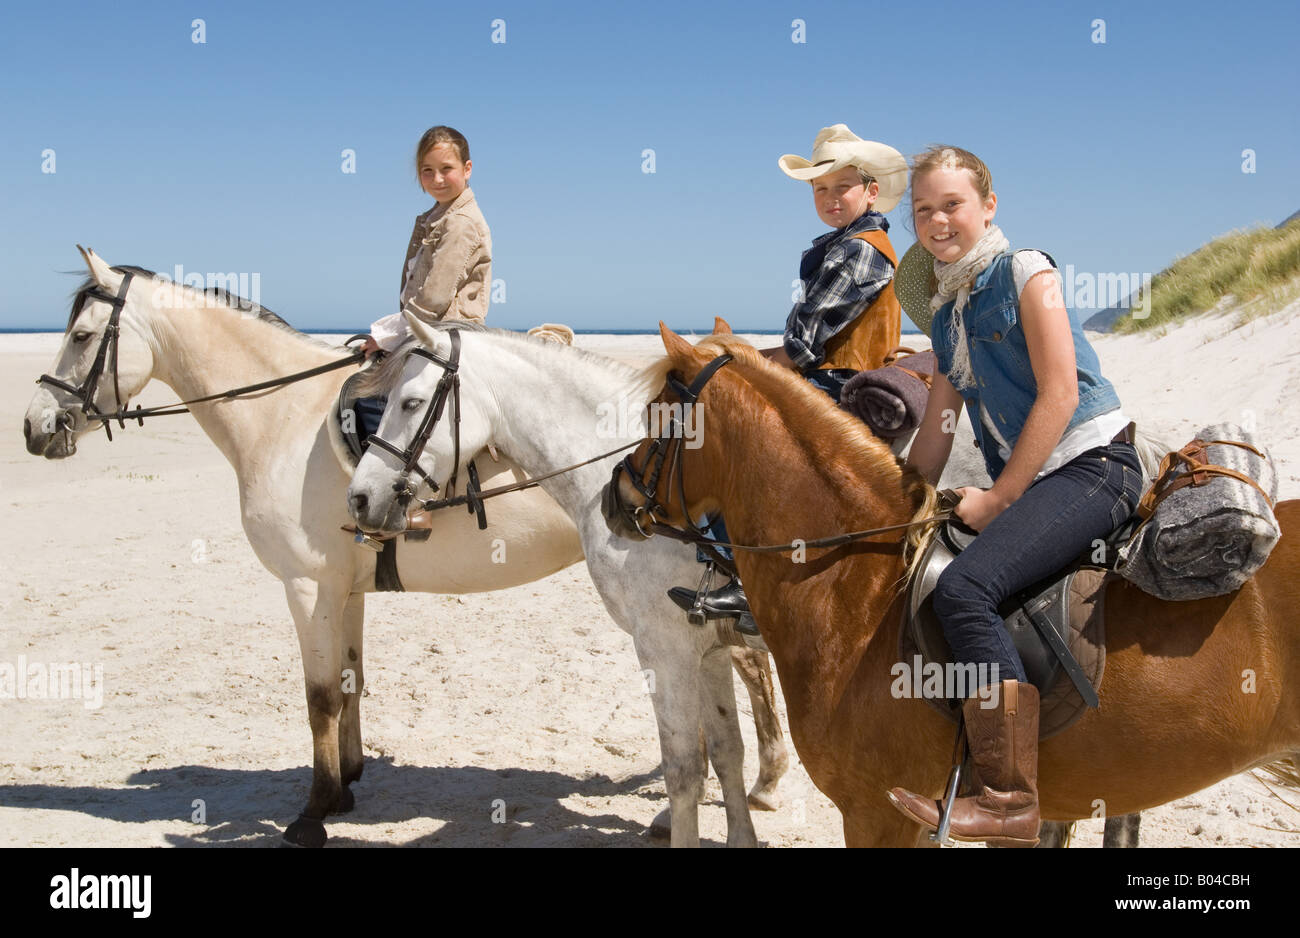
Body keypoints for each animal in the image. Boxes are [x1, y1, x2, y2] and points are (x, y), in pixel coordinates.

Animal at [22, 246, 780, 841]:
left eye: (82, 336)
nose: (34, 426)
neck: (281, 418)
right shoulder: (345, 587)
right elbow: (351, 680)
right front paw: (349, 781)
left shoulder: (307, 585)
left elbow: (318, 696)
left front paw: (314, 812)